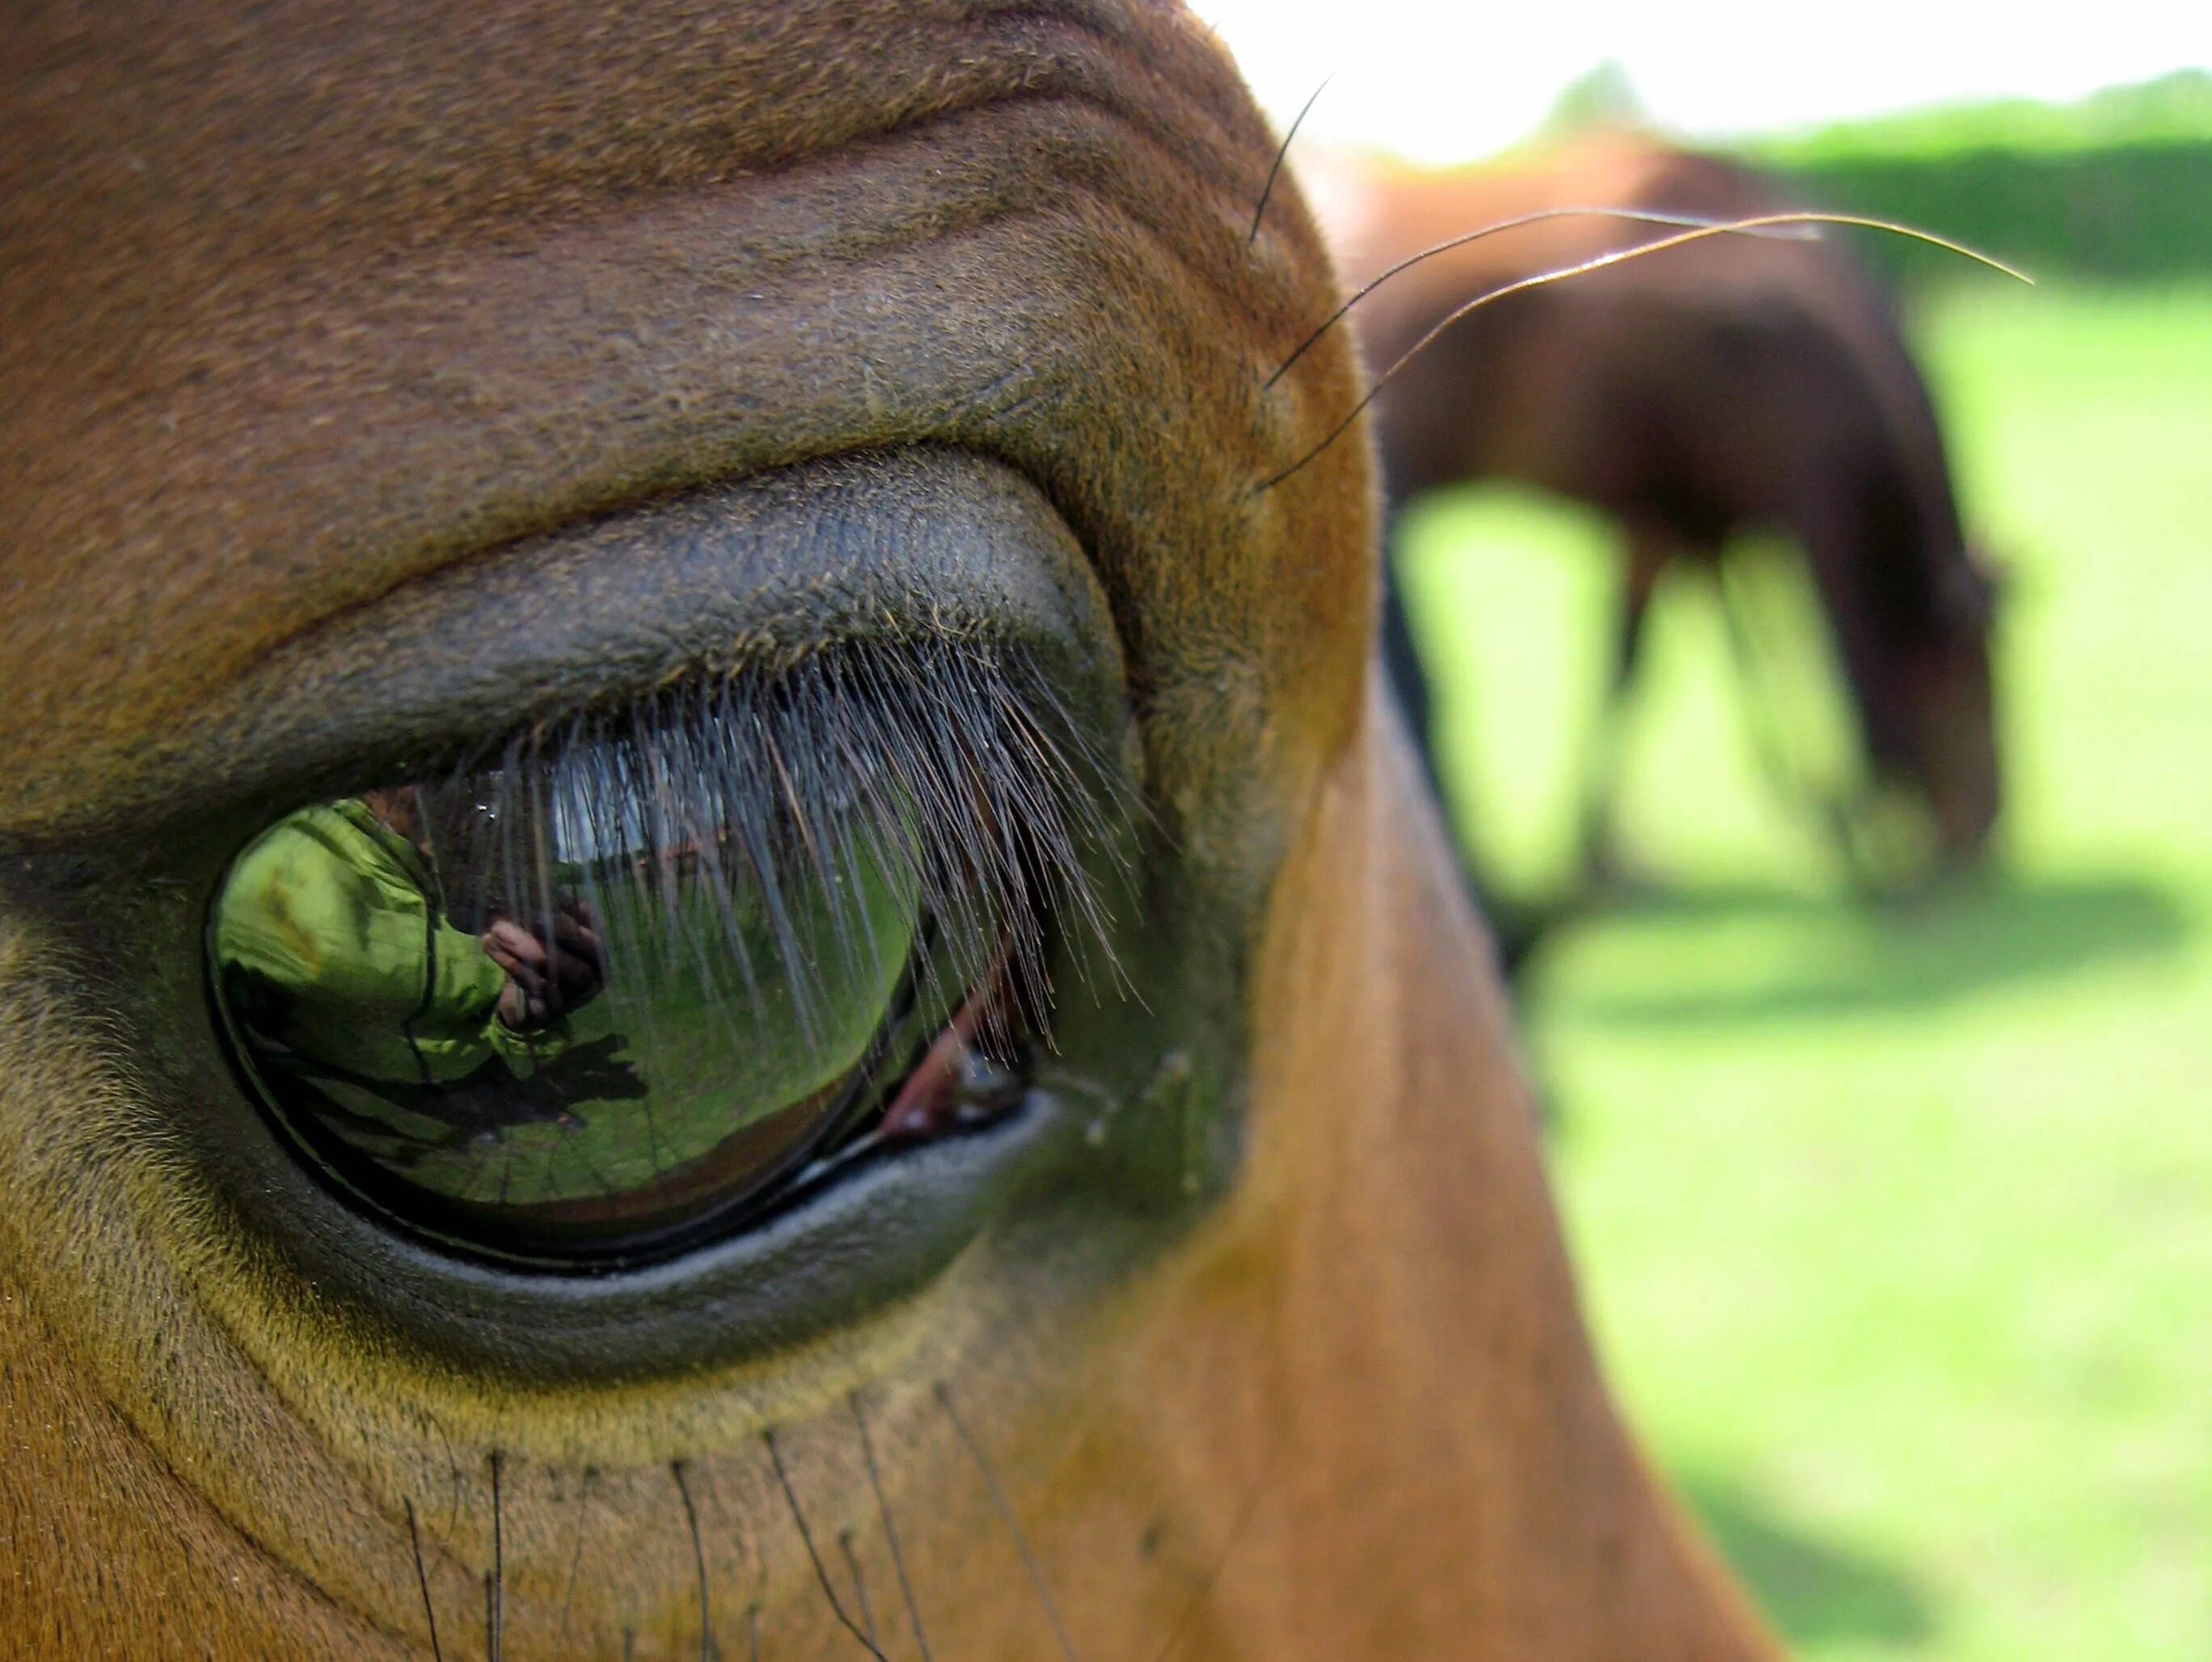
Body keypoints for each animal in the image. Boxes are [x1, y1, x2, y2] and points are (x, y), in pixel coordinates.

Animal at [1309, 133, 2008, 925]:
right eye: (1974, 692)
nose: (1986, 831)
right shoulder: (1684, 523)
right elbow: (1644, 673)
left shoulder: (1691, 523)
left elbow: (1702, 671)